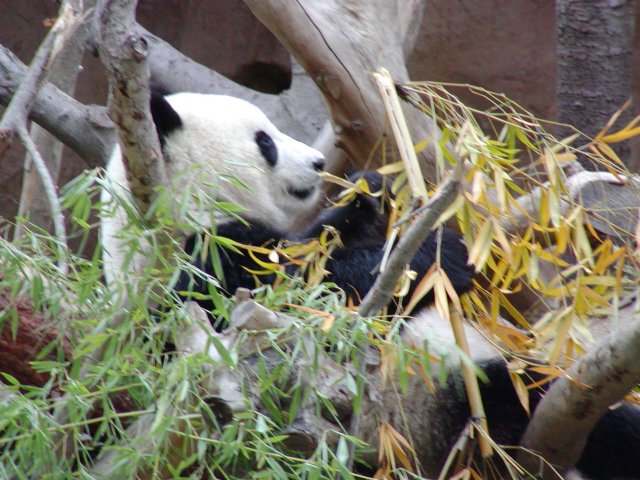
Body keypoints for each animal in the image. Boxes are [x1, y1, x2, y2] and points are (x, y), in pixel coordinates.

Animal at [101, 90, 640, 479]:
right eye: (265, 142)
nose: (320, 163)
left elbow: (325, 243)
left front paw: (371, 193)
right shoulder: (206, 267)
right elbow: (319, 298)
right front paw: (444, 252)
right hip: (418, 399)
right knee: (530, 396)